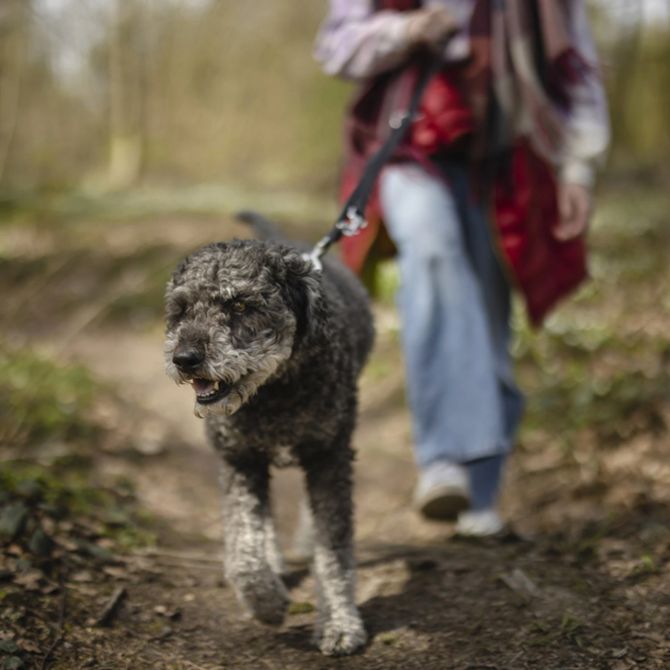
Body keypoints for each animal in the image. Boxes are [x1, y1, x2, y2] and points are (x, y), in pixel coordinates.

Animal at [162, 214, 372, 656]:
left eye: (240, 304)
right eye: (182, 308)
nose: (185, 359)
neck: (275, 390)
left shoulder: (329, 455)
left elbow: (334, 551)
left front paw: (339, 623)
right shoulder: (239, 459)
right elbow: (244, 547)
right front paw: (266, 601)